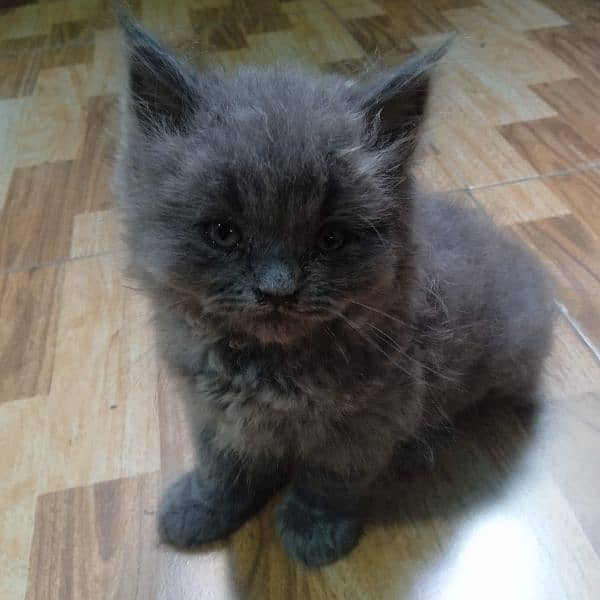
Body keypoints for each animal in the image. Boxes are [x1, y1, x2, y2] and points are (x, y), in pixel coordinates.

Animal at [112, 15, 552, 568]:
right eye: (224, 233)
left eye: (331, 239)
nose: (277, 289)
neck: (268, 370)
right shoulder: (212, 412)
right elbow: (223, 468)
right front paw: (204, 508)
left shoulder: (364, 423)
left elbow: (328, 482)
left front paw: (313, 531)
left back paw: (416, 446)